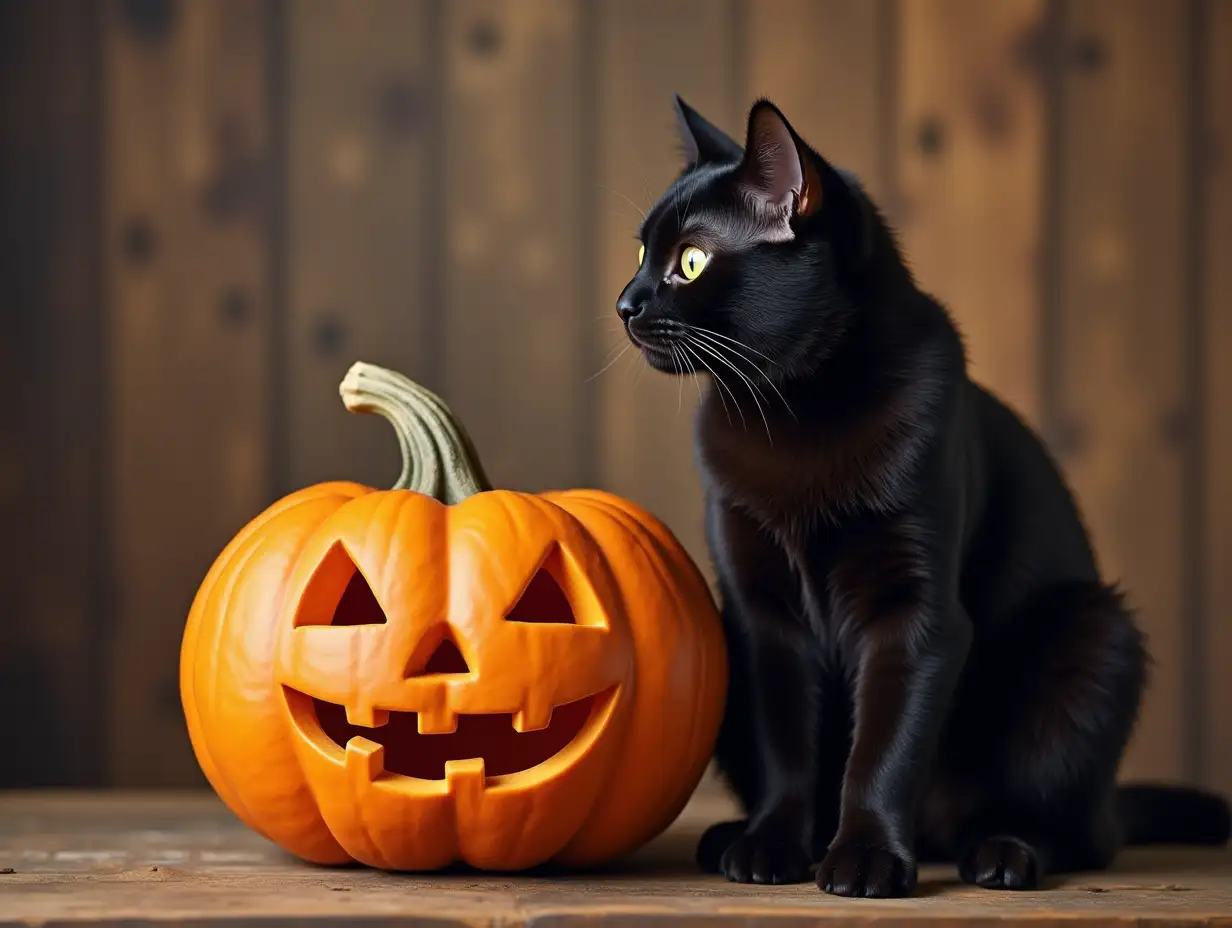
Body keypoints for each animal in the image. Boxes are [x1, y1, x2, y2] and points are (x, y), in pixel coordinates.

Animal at [611, 99, 1227, 897]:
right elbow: (789, 748)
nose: (624, 303)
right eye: (640, 254)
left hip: (1095, 635)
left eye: (689, 261)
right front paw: (770, 847)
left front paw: (866, 858)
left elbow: (882, 750)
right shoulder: (761, 614)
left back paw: (1004, 853)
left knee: (1075, 833)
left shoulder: (916, 614)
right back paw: (730, 838)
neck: (793, 411)